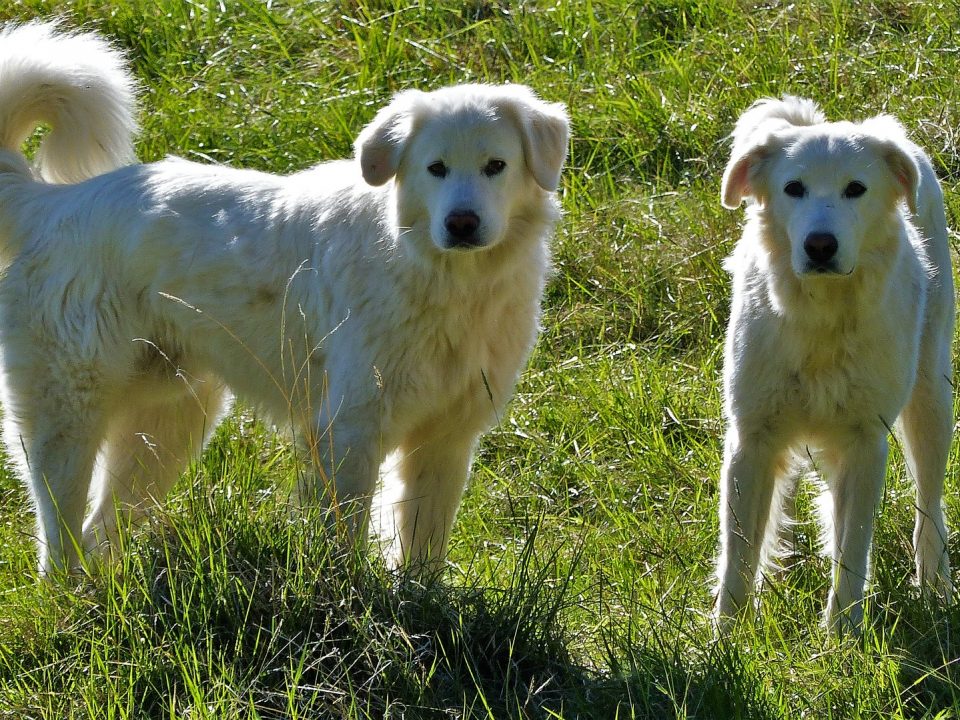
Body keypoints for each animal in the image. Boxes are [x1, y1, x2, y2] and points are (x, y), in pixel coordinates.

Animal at [0, 19, 568, 576]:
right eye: (436, 168)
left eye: (495, 166)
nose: (462, 223)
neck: (445, 279)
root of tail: (53, 203)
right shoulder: (349, 429)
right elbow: (345, 539)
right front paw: (348, 595)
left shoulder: (446, 436)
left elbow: (423, 544)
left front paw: (418, 598)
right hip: (69, 414)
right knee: (59, 537)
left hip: (168, 423)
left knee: (100, 531)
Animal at [716, 94, 956, 632]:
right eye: (794, 189)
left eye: (855, 190)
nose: (820, 245)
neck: (822, 318)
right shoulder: (752, 439)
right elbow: (738, 554)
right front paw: (726, 637)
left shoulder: (865, 443)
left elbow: (853, 548)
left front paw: (842, 633)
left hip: (932, 402)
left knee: (929, 507)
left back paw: (936, 586)